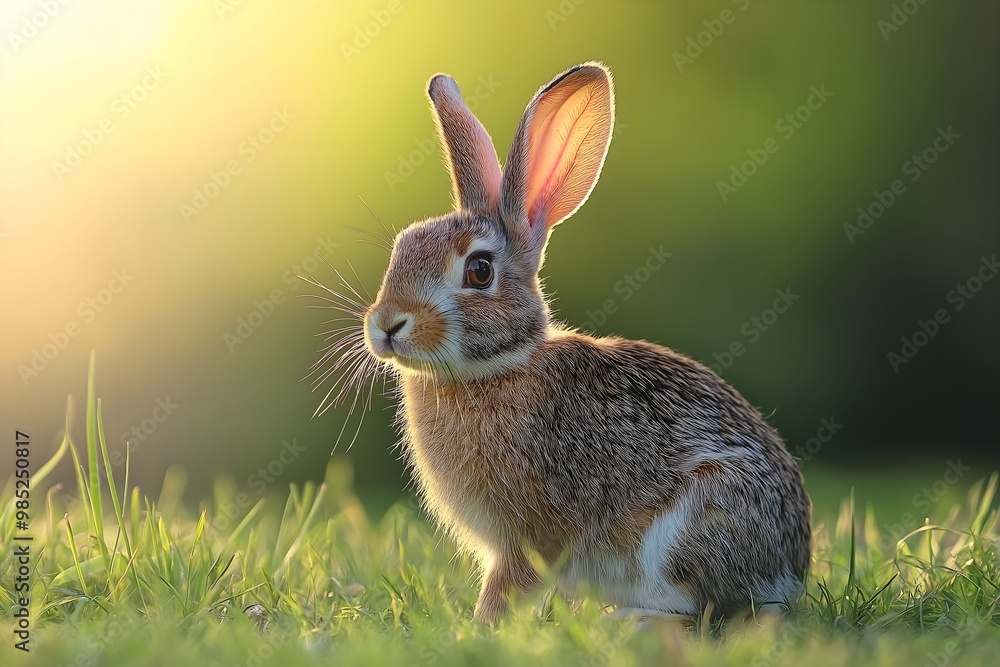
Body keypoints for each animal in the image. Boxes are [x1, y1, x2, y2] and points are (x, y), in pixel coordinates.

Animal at [360, 61, 811, 624]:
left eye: (479, 271)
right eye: (402, 247)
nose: (386, 324)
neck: (497, 366)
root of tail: (791, 570)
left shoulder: (532, 534)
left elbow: (509, 581)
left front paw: (480, 626)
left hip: (694, 522)